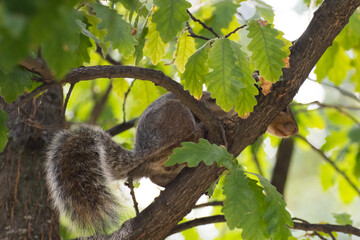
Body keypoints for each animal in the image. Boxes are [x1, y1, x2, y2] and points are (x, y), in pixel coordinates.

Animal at [45, 91, 298, 233]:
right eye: (284, 108)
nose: (295, 129)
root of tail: (143, 152)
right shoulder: (211, 101)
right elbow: (214, 107)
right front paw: (225, 120)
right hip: (177, 116)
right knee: (180, 140)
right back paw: (201, 132)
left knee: (158, 174)